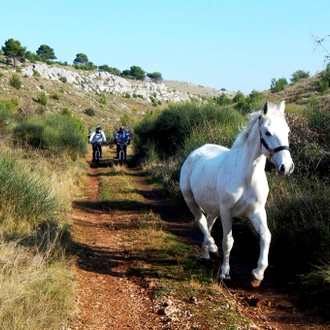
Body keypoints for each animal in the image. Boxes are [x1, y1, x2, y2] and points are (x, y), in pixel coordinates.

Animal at [179, 100, 296, 286]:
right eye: (267, 132)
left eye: (287, 131)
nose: (287, 167)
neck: (247, 176)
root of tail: (195, 153)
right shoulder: (227, 211)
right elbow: (228, 242)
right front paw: (225, 273)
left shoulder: (257, 212)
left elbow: (266, 236)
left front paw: (257, 274)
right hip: (191, 200)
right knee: (201, 222)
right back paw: (211, 246)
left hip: (213, 209)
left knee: (208, 223)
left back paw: (206, 253)